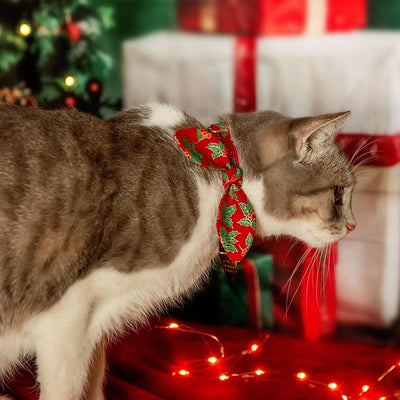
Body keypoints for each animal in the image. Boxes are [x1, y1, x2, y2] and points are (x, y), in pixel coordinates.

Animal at [0, 101, 356, 398]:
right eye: (338, 194)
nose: (352, 226)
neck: (217, 174)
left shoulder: (95, 326)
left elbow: (94, 380)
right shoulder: (67, 317)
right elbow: (67, 387)